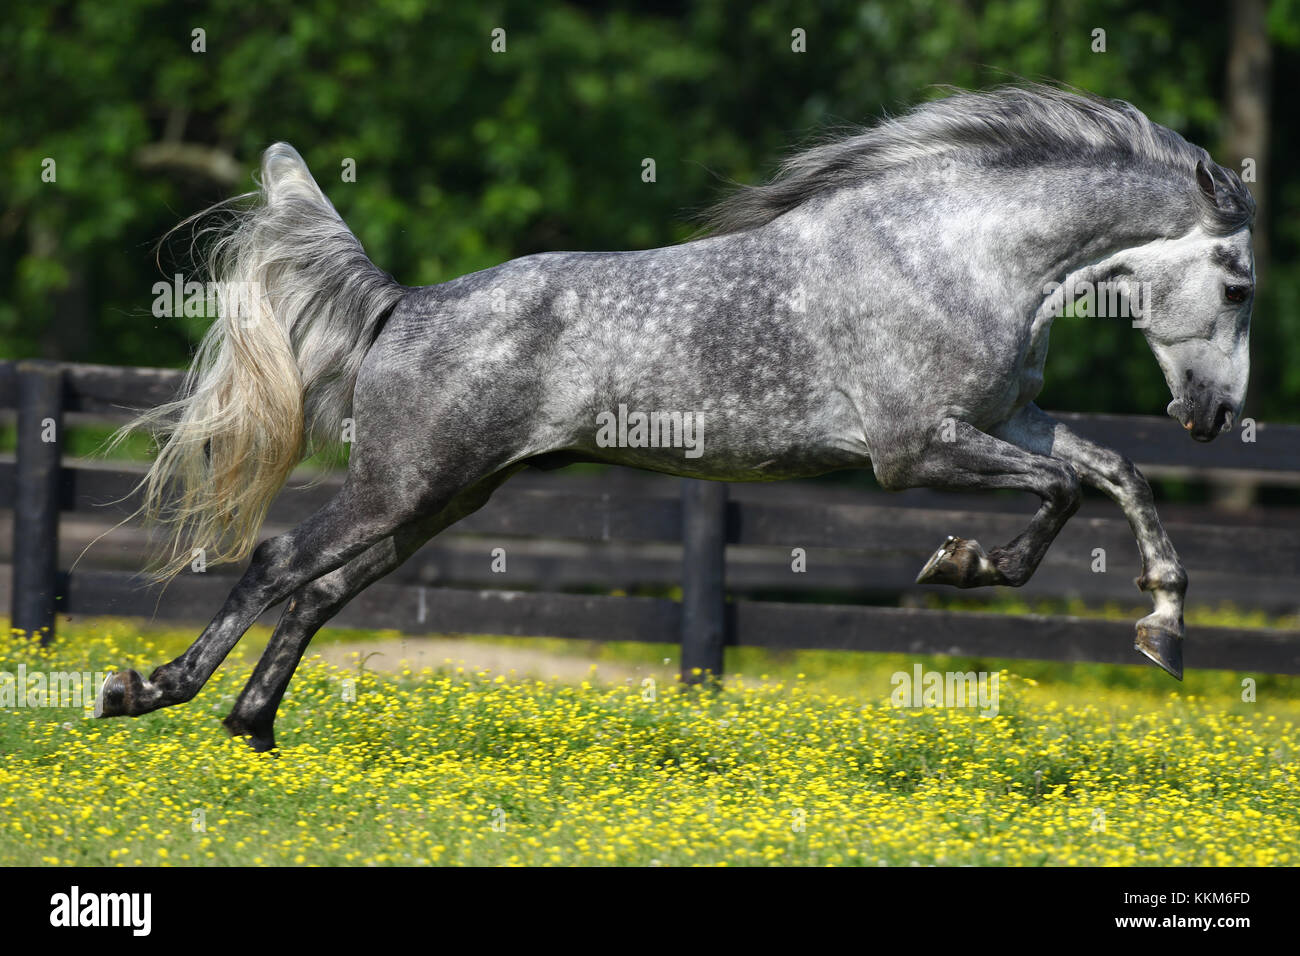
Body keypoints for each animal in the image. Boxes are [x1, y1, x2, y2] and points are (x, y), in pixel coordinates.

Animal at [101, 83, 1258, 754]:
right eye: (1241, 285)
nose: (1211, 417)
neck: (956, 252)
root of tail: (403, 305)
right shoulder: (913, 449)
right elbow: (1064, 490)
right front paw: (962, 565)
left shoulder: (1007, 421)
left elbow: (1113, 473)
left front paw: (1162, 628)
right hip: (402, 484)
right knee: (277, 562)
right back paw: (145, 690)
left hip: (445, 497)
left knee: (321, 587)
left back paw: (253, 725)